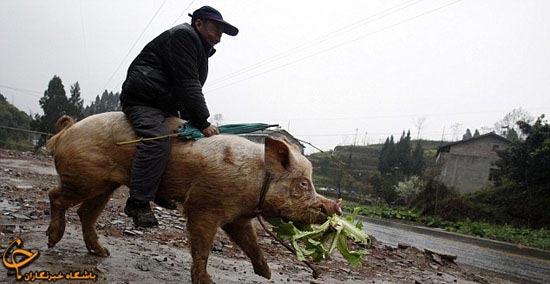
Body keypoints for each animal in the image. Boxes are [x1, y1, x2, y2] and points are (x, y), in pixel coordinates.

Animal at [45, 112, 342, 282]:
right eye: (303, 183)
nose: (335, 207)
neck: (257, 182)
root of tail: (67, 131)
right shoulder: (204, 205)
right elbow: (202, 247)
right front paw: (207, 281)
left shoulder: (237, 217)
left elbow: (251, 243)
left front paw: (266, 273)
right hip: (83, 178)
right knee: (55, 196)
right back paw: (52, 240)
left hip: (105, 185)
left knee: (86, 213)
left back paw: (103, 252)